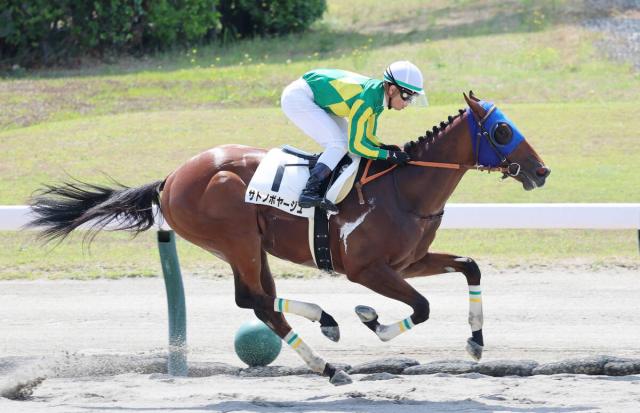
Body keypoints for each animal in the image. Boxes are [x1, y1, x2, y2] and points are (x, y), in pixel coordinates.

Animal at [27, 92, 550, 385]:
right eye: (502, 130)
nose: (542, 171)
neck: (404, 188)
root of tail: (170, 179)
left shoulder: (407, 262)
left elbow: (470, 266)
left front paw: (476, 341)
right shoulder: (366, 270)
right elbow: (419, 308)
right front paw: (371, 319)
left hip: (249, 247)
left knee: (257, 302)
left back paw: (327, 342)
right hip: (236, 238)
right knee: (257, 302)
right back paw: (329, 342)